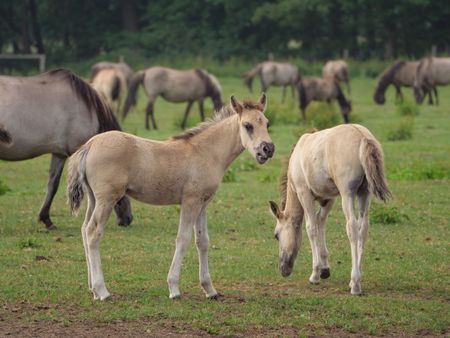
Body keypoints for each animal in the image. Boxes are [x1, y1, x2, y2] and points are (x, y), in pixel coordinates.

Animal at [68, 93, 276, 300]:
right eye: (247, 125)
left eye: (266, 123)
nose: (268, 149)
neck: (206, 152)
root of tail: (90, 144)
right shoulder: (190, 201)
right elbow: (183, 239)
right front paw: (174, 288)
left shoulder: (203, 203)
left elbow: (202, 241)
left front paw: (210, 289)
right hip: (107, 199)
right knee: (93, 232)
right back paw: (102, 290)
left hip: (94, 199)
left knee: (84, 229)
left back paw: (93, 289)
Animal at [270, 125, 390, 296]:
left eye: (276, 235)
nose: (283, 270)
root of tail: (363, 137)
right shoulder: (328, 198)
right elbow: (321, 222)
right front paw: (325, 268)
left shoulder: (304, 193)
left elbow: (311, 227)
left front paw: (315, 274)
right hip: (365, 193)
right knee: (364, 228)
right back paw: (356, 276)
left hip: (347, 194)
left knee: (352, 227)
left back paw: (355, 284)